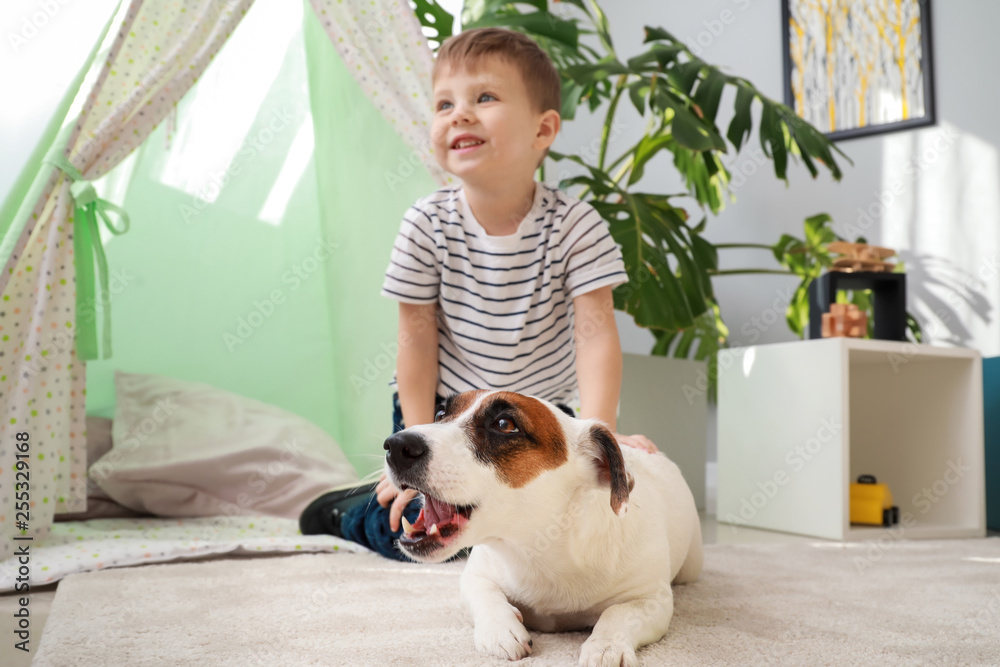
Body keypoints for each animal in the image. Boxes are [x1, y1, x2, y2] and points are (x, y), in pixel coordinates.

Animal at [382, 388, 704, 664]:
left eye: (504, 424)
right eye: (439, 414)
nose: (396, 445)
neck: (539, 545)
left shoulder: (652, 600)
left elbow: (618, 613)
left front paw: (606, 646)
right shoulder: (475, 577)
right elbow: (486, 595)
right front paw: (501, 629)